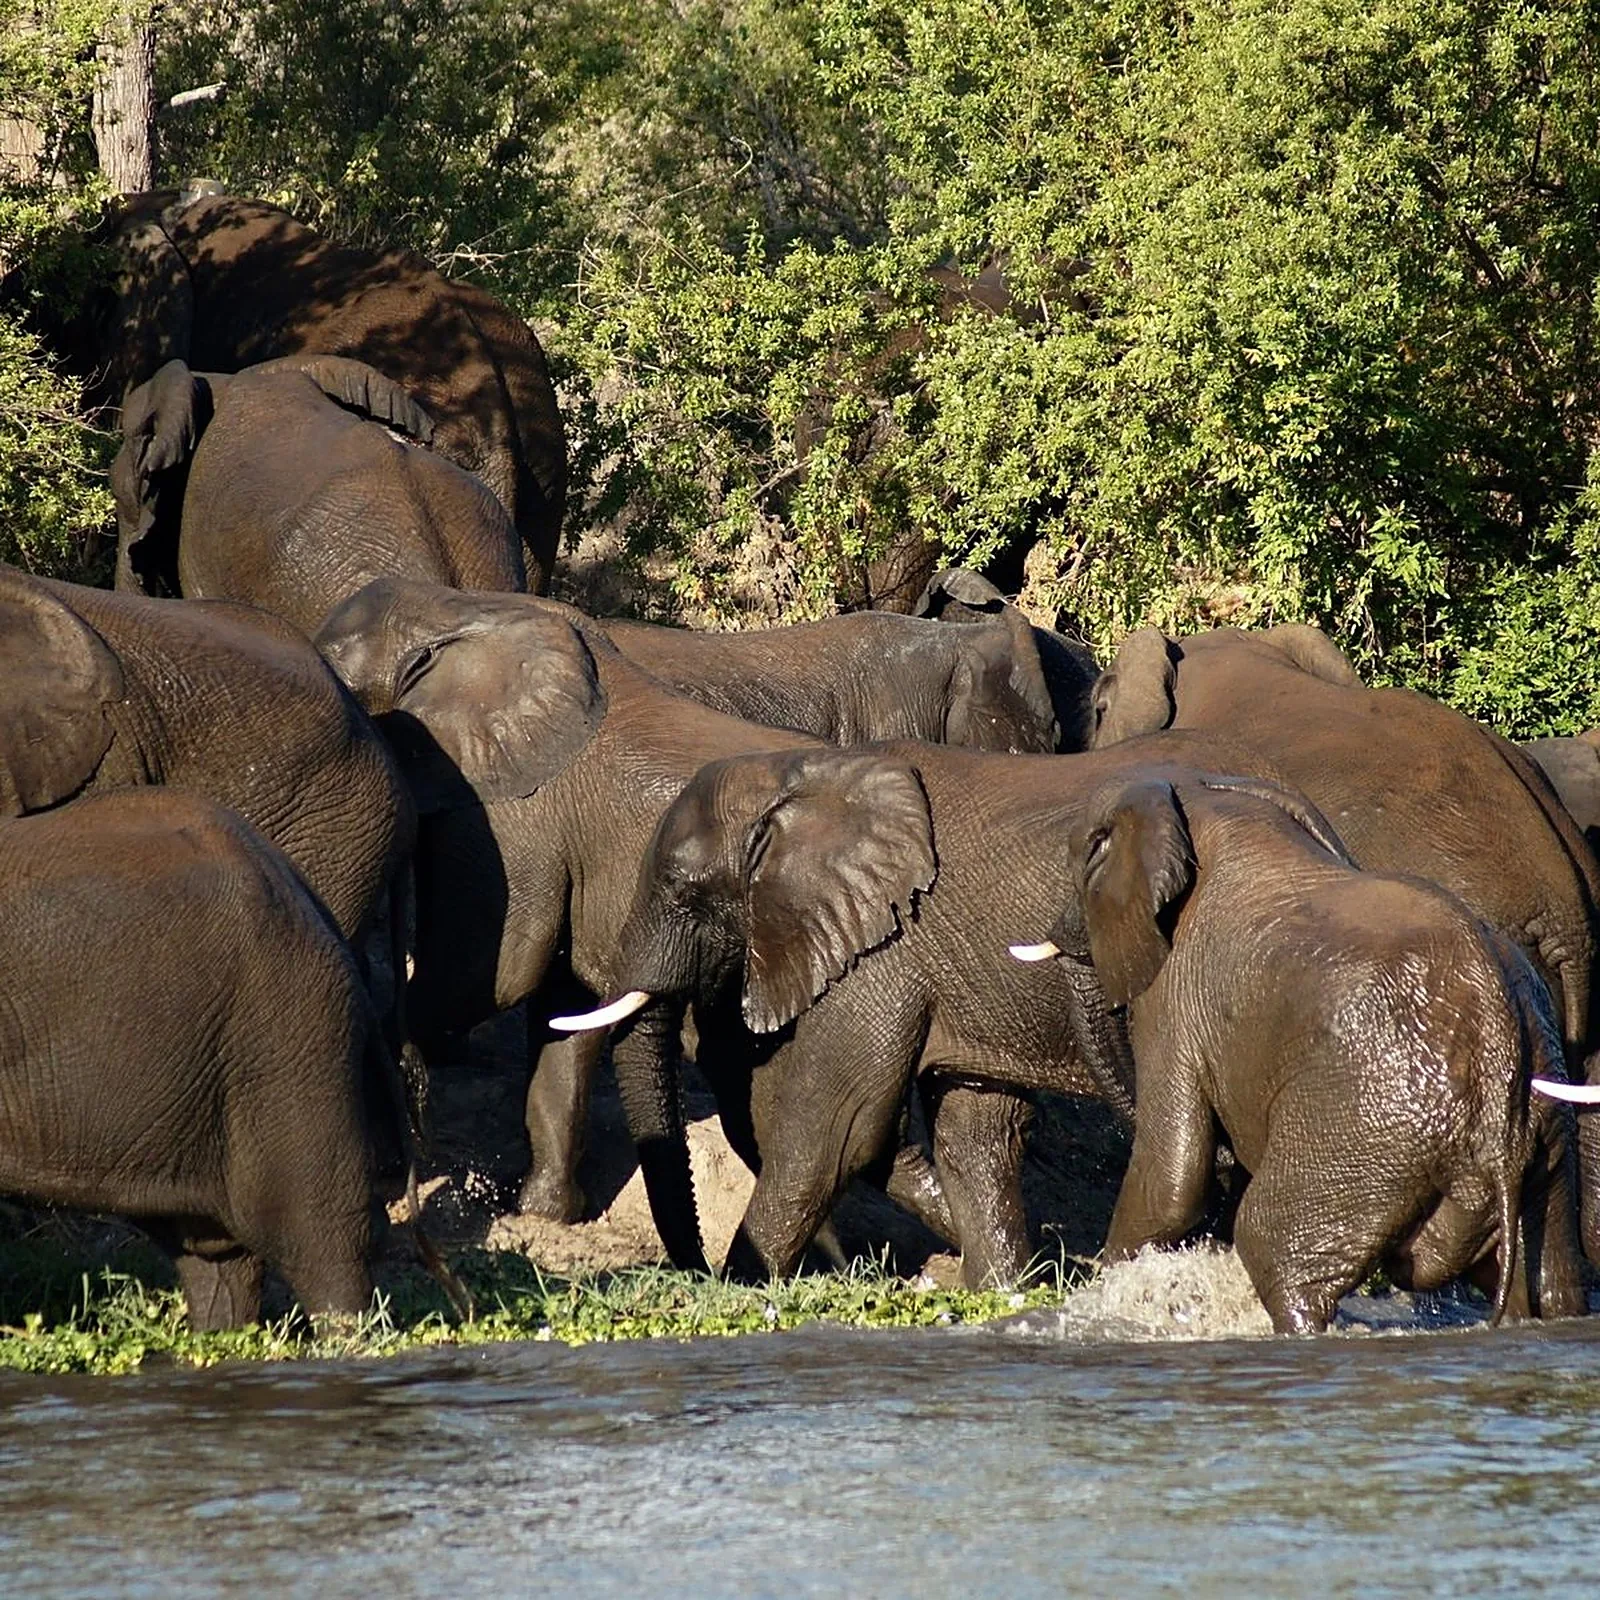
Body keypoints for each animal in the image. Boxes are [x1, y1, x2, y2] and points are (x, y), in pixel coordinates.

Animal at [1008, 774, 1586, 1333]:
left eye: (1084, 862)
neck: (1209, 798)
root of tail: (1498, 1039)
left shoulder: (1175, 995)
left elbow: (1173, 1174)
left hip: (1362, 1132)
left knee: (1272, 1247)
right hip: (1545, 1127)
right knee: (1548, 1280)